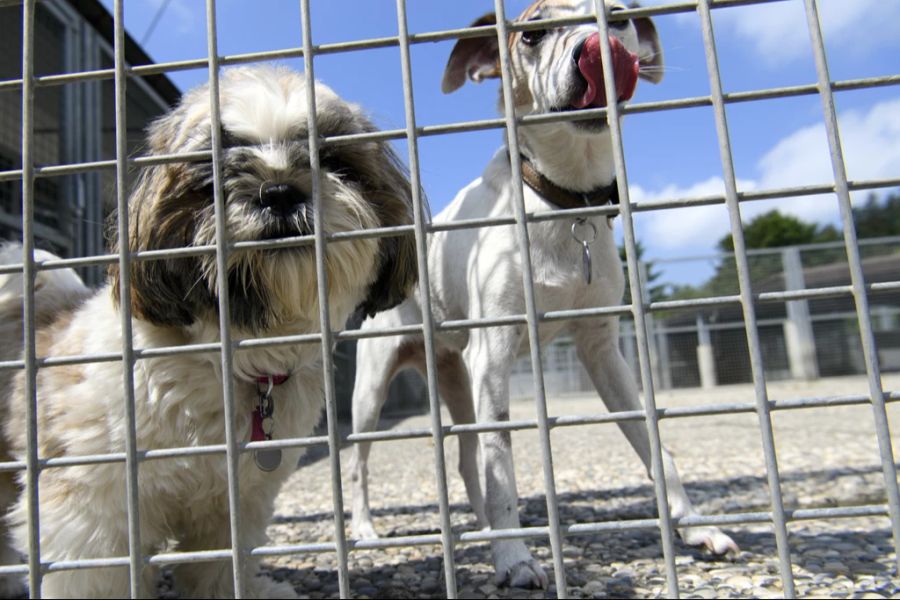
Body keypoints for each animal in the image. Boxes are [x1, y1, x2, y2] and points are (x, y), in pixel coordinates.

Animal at [0, 65, 416, 600]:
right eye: (211, 174)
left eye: (334, 161)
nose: (279, 190)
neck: (228, 358)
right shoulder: (93, 506)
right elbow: (97, 573)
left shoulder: (237, 499)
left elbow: (220, 562)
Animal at [352, 0, 740, 588]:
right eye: (532, 34)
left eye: (619, 17)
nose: (595, 51)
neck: (562, 202)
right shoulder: (492, 356)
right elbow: (503, 467)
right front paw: (514, 558)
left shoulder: (602, 350)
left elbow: (657, 448)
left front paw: (697, 527)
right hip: (373, 391)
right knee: (360, 464)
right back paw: (367, 529)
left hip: (457, 377)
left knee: (466, 458)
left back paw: (483, 526)